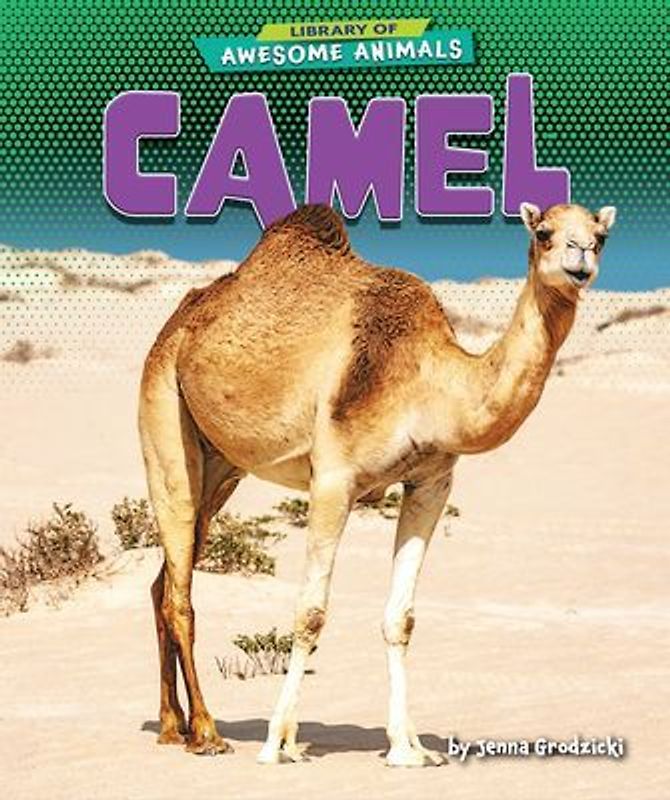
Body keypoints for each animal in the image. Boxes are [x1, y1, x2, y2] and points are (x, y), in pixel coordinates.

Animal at [139, 200, 616, 766]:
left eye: (600, 236)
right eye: (544, 233)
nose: (580, 259)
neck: (429, 386)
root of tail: (178, 323)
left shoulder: (431, 483)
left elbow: (400, 618)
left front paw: (408, 747)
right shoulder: (333, 478)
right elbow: (311, 612)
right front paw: (279, 741)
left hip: (221, 466)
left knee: (164, 581)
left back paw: (173, 726)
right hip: (164, 414)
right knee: (180, 589)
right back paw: (207, 733)